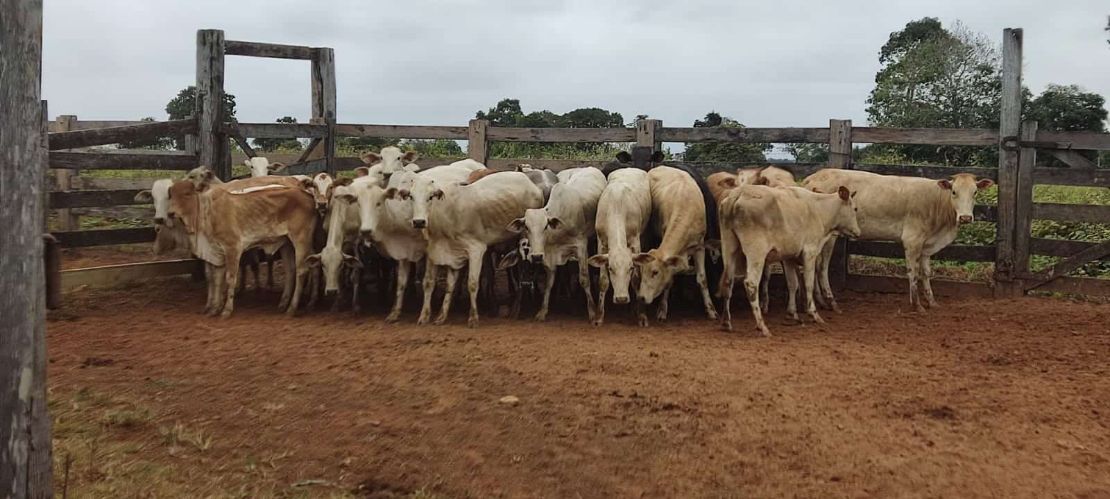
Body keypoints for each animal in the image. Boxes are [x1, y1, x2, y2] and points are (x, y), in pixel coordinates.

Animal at [506, 166, 603, 319]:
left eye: (546, 226)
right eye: (526, 227)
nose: (537, 256)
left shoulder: (581, 247)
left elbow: (584, 279)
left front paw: (592, 312)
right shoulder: (550, 254)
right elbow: (549, 282)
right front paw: (543, 311)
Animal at [586, 165, 652, 326]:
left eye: (631, 268)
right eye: (610, 268)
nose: (621, 299)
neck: (617, 206)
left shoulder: (635, 241)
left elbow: (636, 280)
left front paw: (641, 315)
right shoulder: (602, 242)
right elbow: (603, 281)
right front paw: (598, 317)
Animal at [714, 182, 861, 334]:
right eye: (855, 208)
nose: (858, 232)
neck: (819, 209)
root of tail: (738, 195)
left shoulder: (788, 257)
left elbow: (792, 284)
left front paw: (792, 314)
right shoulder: (810, 252)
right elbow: (808, 284)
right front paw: (814, 314)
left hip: (729, 247)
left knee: (728, 281)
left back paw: (726, 323)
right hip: (756, 252)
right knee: (751, 284)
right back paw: (762, 326)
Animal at [803, 170, 994, 312]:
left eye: (975, 192)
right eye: (954, 192)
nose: (965, 217)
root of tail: (811, 178)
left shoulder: (926, 246)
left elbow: (926, 273)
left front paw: (932, 302)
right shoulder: (912, 240)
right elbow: (913, 272)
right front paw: (917, 305)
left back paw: (821, 301)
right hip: (829, 237)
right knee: (822, 267)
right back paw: (831, 302)